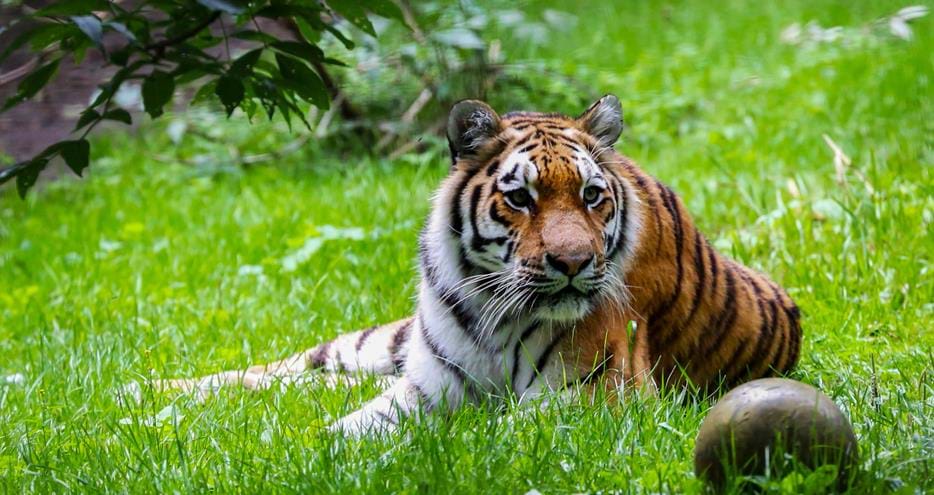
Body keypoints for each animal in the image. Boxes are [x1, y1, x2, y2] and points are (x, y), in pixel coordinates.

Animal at [149, 95, 802, 435]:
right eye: (521, 198)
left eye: (592, 196)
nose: (573, 262)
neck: (496, 311)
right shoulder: (424, 385)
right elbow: (347, 430)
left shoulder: (593, 397)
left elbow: (489, 433)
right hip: (379, 346)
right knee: (294, 366)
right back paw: (150, 399)